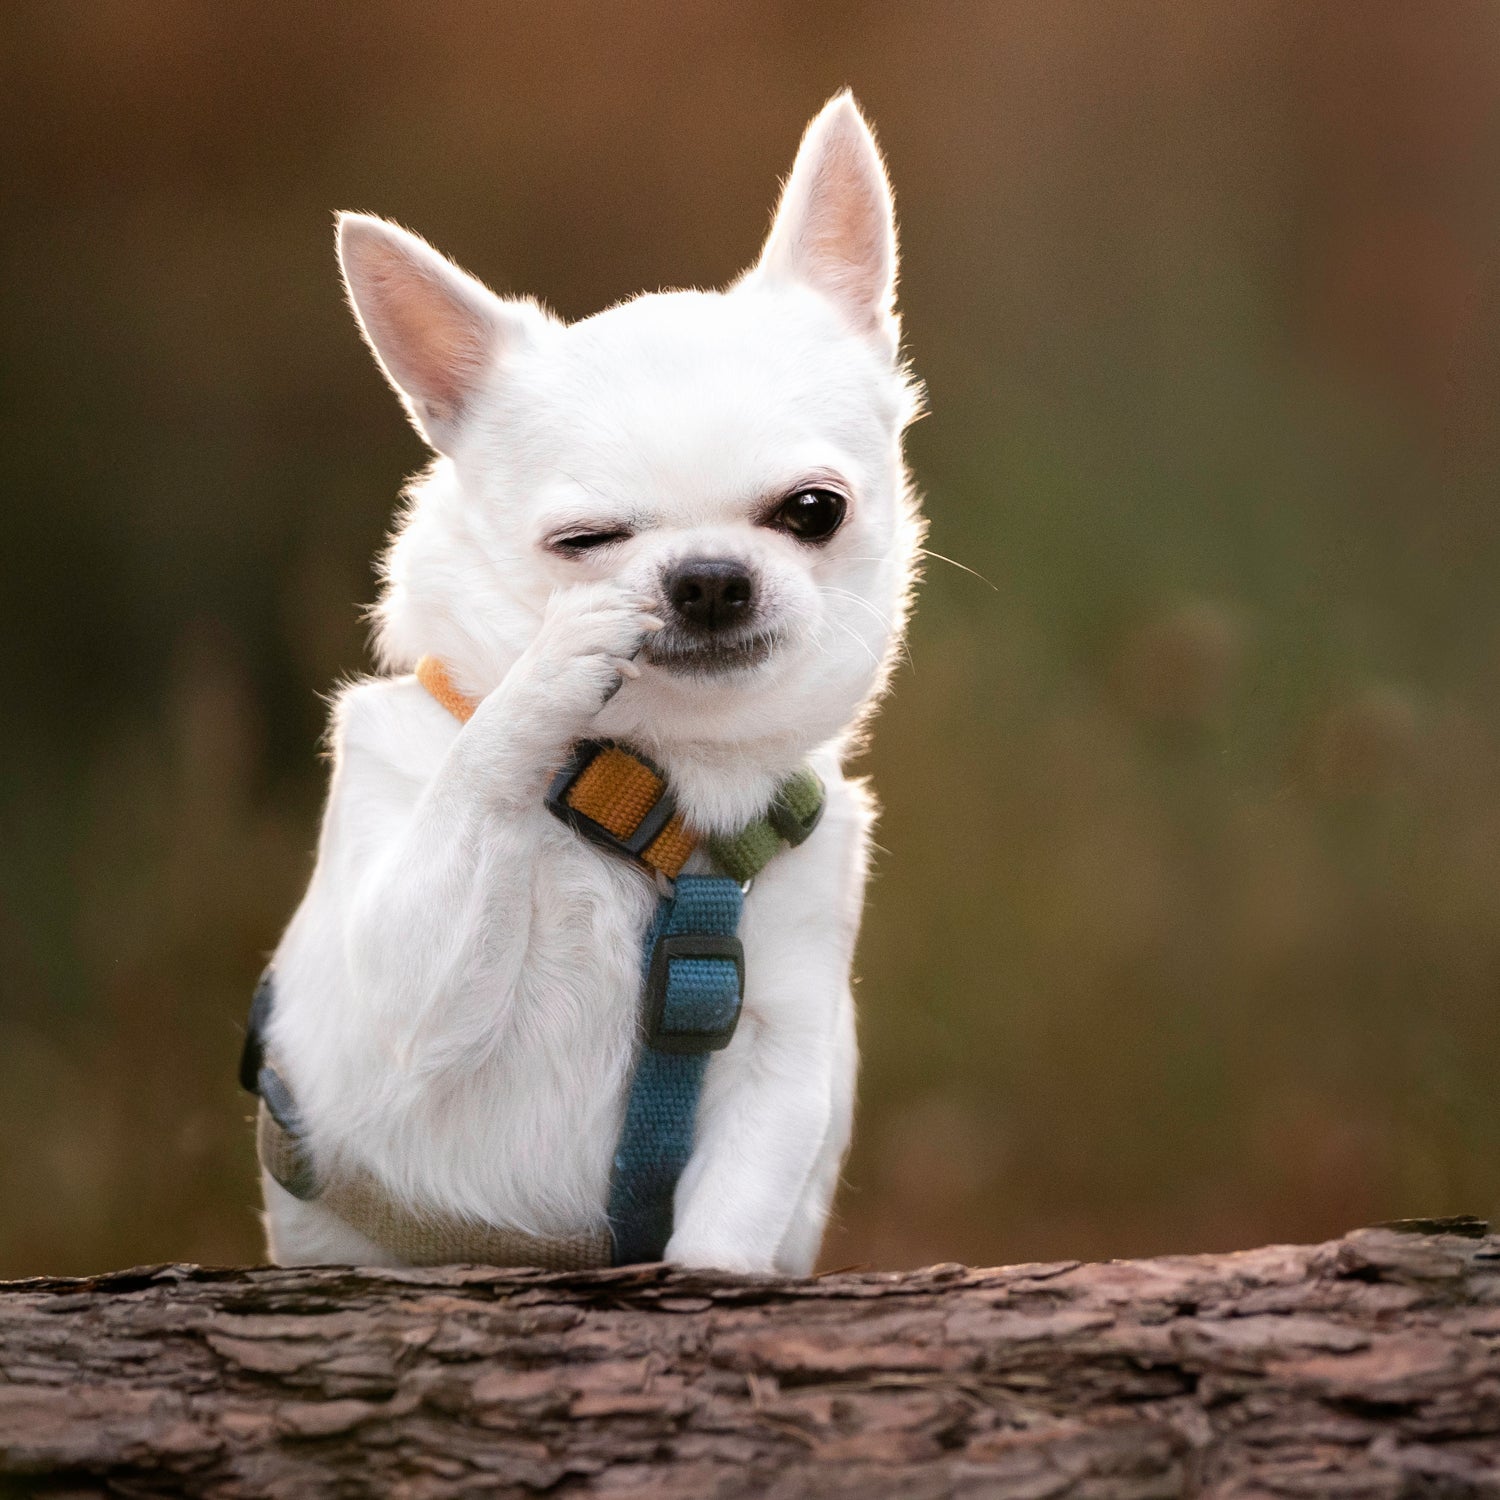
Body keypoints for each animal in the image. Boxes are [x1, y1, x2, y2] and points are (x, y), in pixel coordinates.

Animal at [252, 87, 918, 1272]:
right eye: (587, 543)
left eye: (813, 511)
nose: (708, 577)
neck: (650, 789)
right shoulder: (386, 1018)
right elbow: (473, 783)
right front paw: (549, 667)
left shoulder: (781, 1056)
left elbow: (731, 1212)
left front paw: (710, 1279)